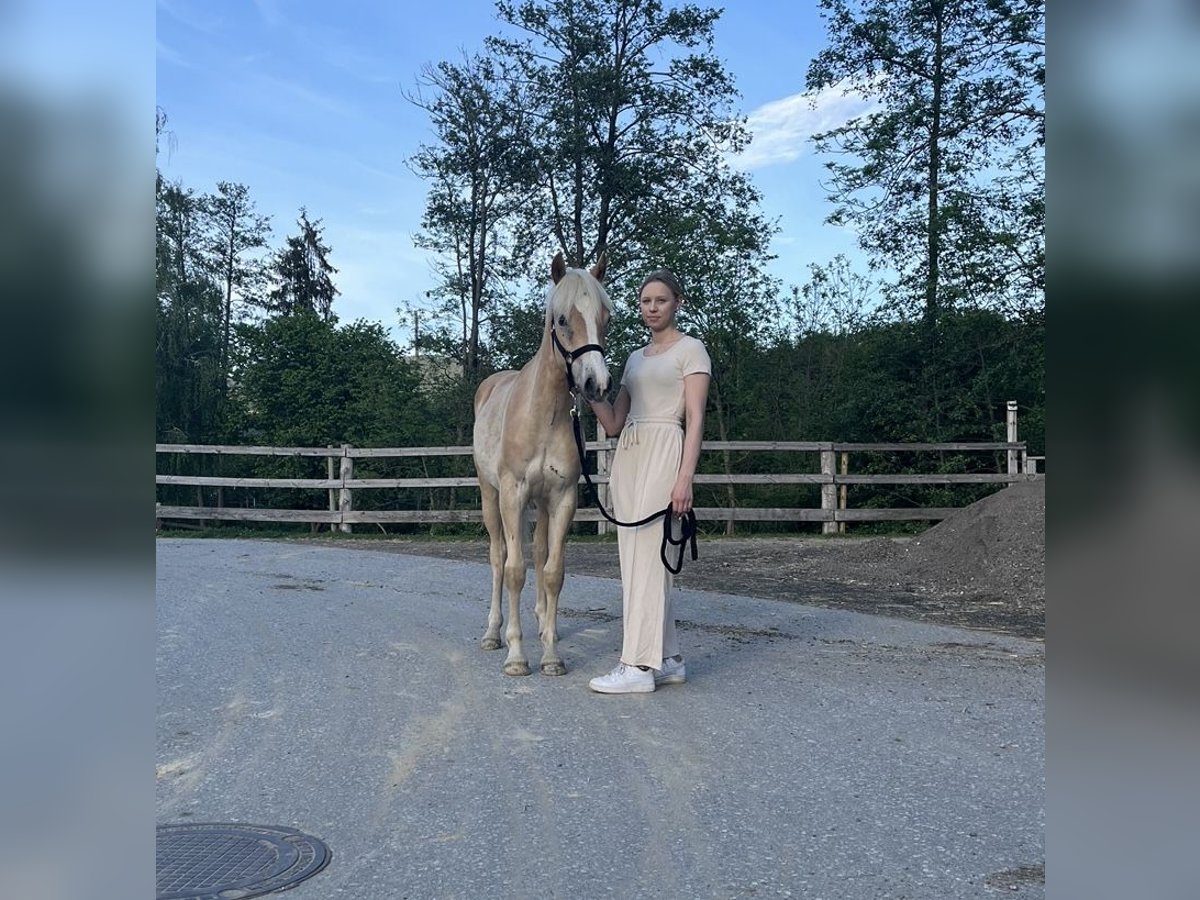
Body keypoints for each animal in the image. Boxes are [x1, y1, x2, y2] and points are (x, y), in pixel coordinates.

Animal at [472, 254, 614, 676]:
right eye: (562, 319)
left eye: (606, 317)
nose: (597, 383)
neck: (544, 415)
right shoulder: (512, 494)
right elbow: (514, 571)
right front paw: (517, 656)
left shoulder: (562, 498)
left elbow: (552, 571)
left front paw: (550, 655)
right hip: (492, 496)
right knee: (499, 558)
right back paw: (493, 633)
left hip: (540, 505)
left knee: (536, 552)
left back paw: (537, 622)